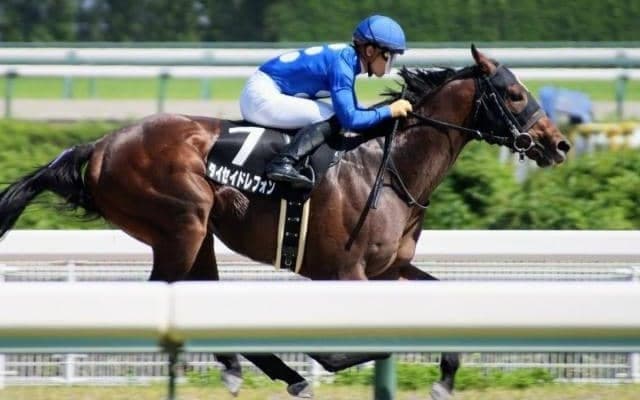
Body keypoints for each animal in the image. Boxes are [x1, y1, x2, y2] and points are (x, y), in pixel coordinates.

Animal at [0, 45, 570, 399]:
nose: (558, 143)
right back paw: (274, 371)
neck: (389, 167)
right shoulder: (344, 274)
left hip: (196, 234)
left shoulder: (390, 270)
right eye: (515, 94)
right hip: (182, 224)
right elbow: (345, 349)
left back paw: (255, 370)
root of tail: (100, 145)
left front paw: (444, 377)